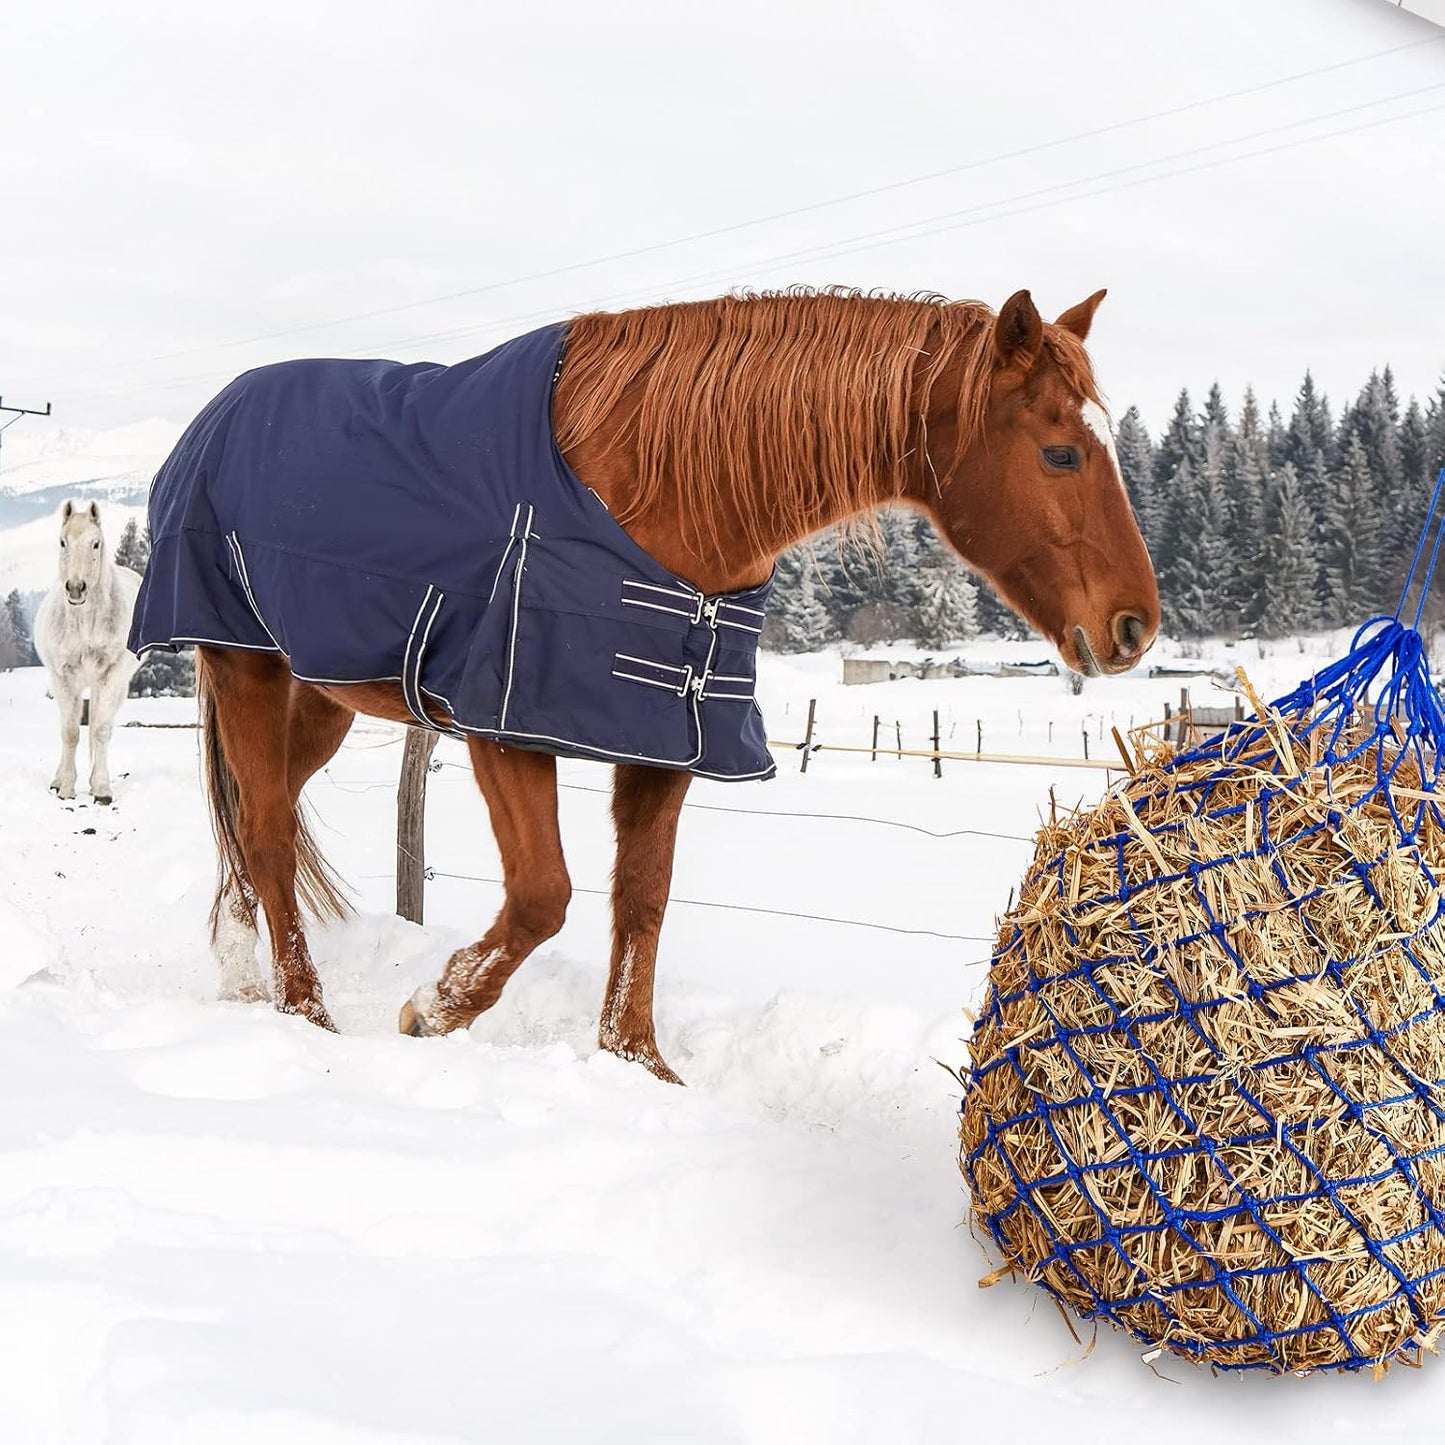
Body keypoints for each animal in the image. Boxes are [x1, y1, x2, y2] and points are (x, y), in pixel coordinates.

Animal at [34, 501, 143, 805]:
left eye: (96, 543)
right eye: (63, 542)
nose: (75, 588)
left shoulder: (111, 675)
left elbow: (101, 730)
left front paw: (102, 790)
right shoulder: (63, 678)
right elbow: (70, 733)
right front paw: (67, 788)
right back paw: (58, 780)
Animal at [132, 287, 1160, 1080]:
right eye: (1061, 452)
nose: (1134, 626)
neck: (658, 493)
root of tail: (215, 418)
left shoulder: (666, 735)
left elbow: (642, 896)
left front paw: (635, 1059)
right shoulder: (509, 724)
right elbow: (544, 894)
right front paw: (435, 1006)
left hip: (322, 694)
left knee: (255, 819)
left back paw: (241, 970)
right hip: (244, 664)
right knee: (268, 830)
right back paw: (301, 1008)